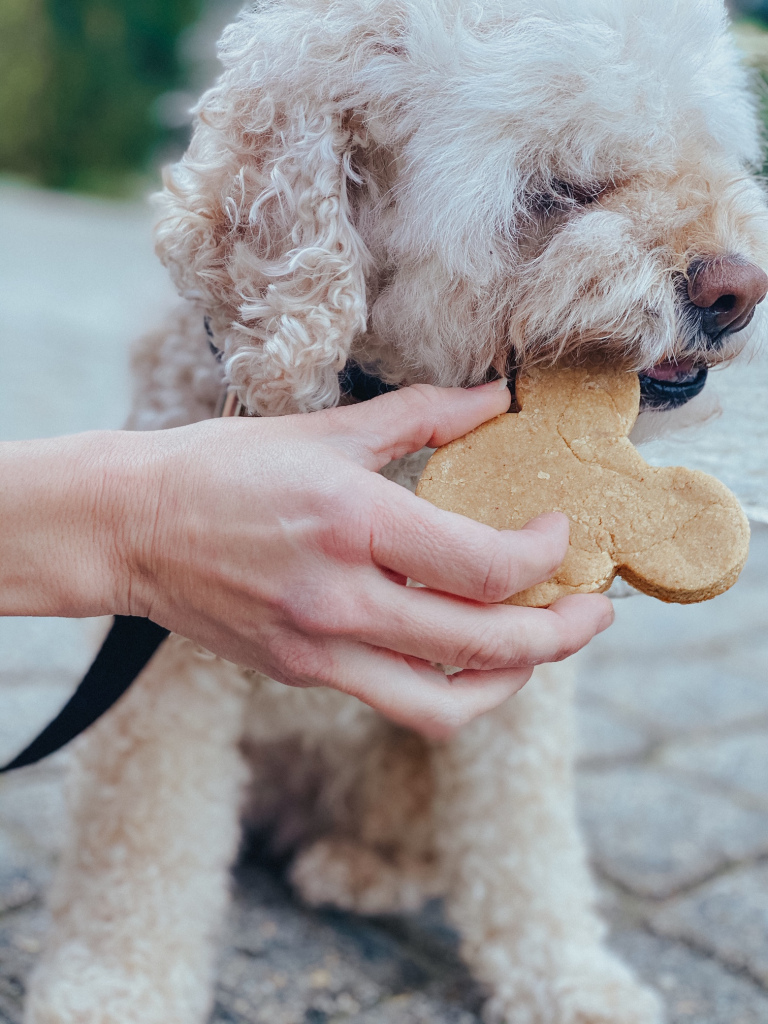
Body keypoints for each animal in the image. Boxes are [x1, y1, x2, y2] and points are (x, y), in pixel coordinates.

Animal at [24, 2, 768, 1024]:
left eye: (710, 151)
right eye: (562, 189)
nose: (739, 288)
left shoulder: (516, 689)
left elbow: (524, 842)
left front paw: (570, 979)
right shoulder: (166, 655)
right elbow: (143, 837)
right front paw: (115, 985)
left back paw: (365, 867)